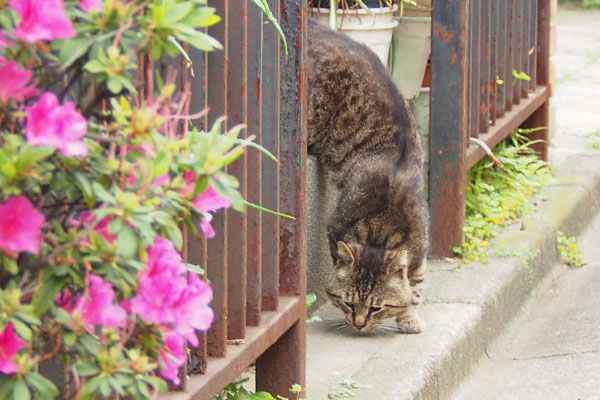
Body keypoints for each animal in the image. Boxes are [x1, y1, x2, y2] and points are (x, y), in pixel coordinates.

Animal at [308, 19, 428, 334]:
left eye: (377, 307)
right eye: (349, 303)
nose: (359, 324)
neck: (382, 228)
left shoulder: (420, 255)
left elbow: (415, 288)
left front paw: (409, 317)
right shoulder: (335, 228)